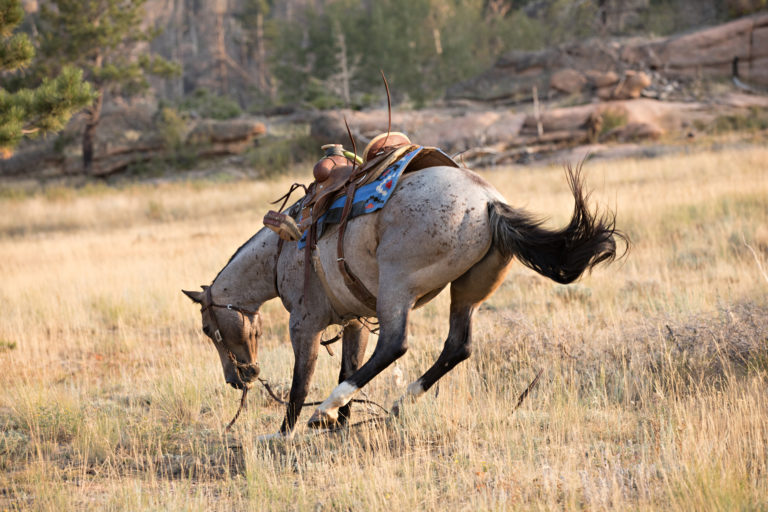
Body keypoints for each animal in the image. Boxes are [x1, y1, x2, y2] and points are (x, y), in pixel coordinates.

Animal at [183, 163, 624, 437]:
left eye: (207, 329)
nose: (238, 378)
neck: (281, 249)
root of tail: (488, 203)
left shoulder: (304, 326)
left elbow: (299, 383)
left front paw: (285, 432)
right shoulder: (354, 322)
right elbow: (350, 364)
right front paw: (341, 422)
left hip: (397, 286)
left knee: (396, 345)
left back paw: (329, 408)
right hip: (468, 292)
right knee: (457, 346)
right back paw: (398, 402)